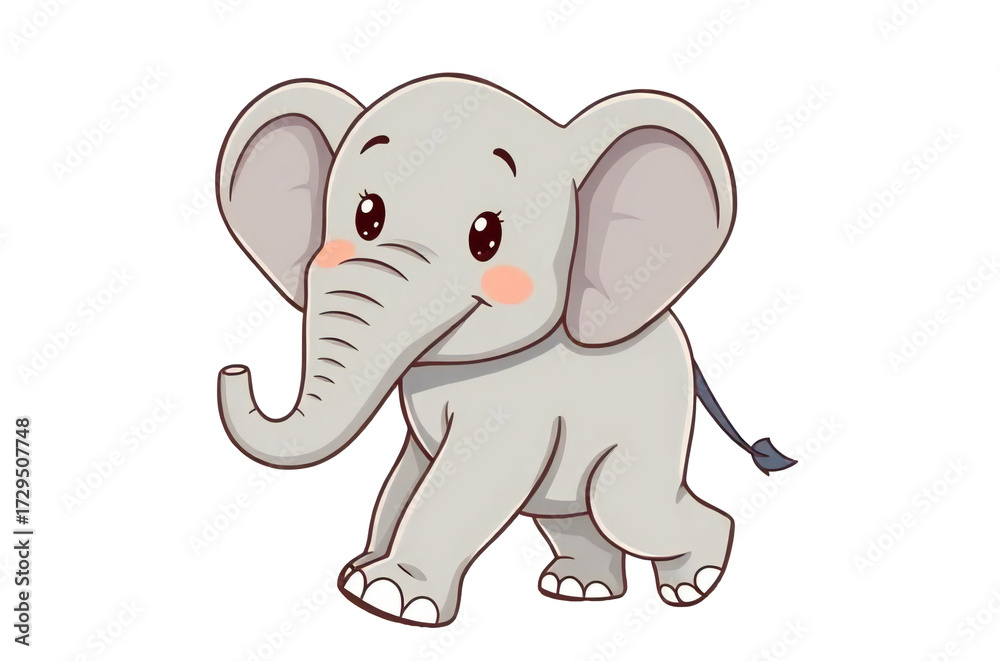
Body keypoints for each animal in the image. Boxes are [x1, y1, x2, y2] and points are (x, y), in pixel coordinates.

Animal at [213, 74, 795, 627]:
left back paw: (693, 584)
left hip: (652, 425)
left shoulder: (517, 405)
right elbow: (406, 477)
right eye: (367, 216)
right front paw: (360, 575)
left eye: (486, 237)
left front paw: (390, 599)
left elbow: (466, 481)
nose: (235, 369)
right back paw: (578, 589)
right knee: (574, 515)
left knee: (625, 510)